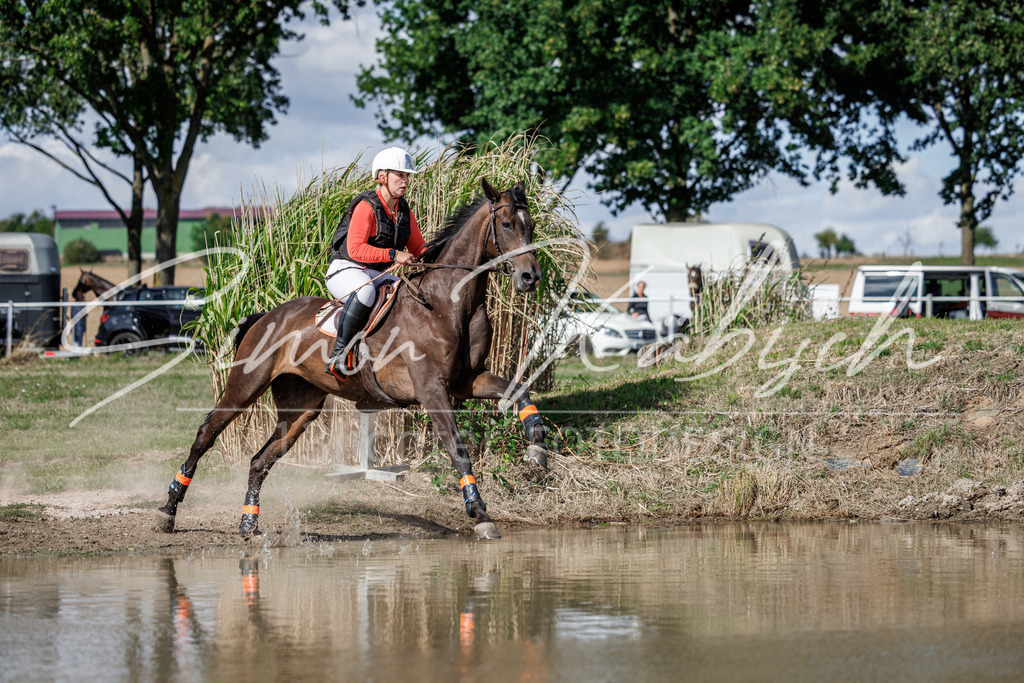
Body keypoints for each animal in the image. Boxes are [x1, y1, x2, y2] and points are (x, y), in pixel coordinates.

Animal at [154, 178, 551, 540]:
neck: (449, 302)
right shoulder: (432, 390)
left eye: (531, 225)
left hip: (301, 406)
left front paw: (537, 447)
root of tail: (266, 316)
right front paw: (479, 512)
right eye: (506, 224)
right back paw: (168, 510)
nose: (530, 277)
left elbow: (518, 390)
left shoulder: (466, 381)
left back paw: (248, 522)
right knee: (206, 434)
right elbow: (457, 448)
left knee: (260, 460)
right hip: (245, 387)